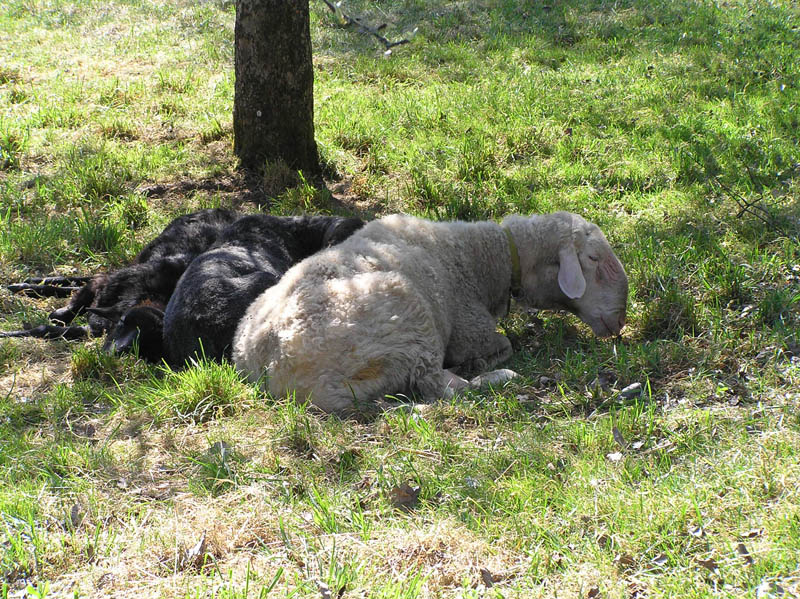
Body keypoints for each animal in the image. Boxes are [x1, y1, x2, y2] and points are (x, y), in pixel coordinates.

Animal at [234, 211, 628, 412]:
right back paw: (496, 377)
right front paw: (484, 362)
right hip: (407, 318)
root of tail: (271, 368)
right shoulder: (472, 330)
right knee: (440, 387)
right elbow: (502, 345)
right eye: (593, 259)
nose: (620, 320)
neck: (483, 257)